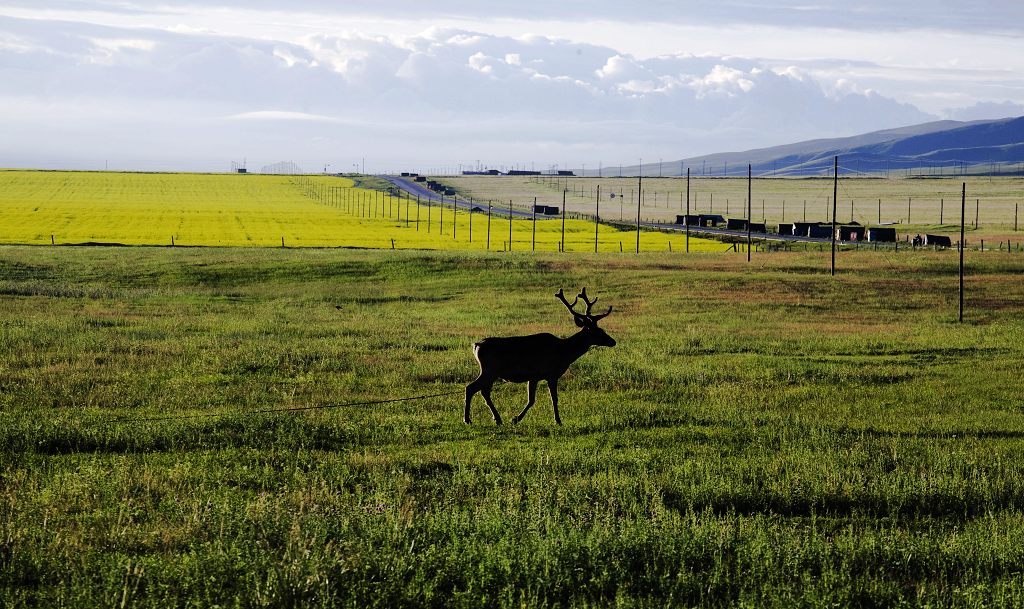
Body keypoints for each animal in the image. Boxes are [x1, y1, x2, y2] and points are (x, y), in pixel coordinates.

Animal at [466, 288, 614, 425]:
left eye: (601, 329)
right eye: (596, 331)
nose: (613, 341)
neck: (564, 353)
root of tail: (476, 345)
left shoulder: (534, 377)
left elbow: (531, 400)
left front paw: (516, 419)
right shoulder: (551, 373)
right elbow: (554, 398)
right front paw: (558, 421)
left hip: (491, 372)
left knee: (483, 392)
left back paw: (496, 418)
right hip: (489, 370)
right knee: (471, 388)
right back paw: (469, 419)